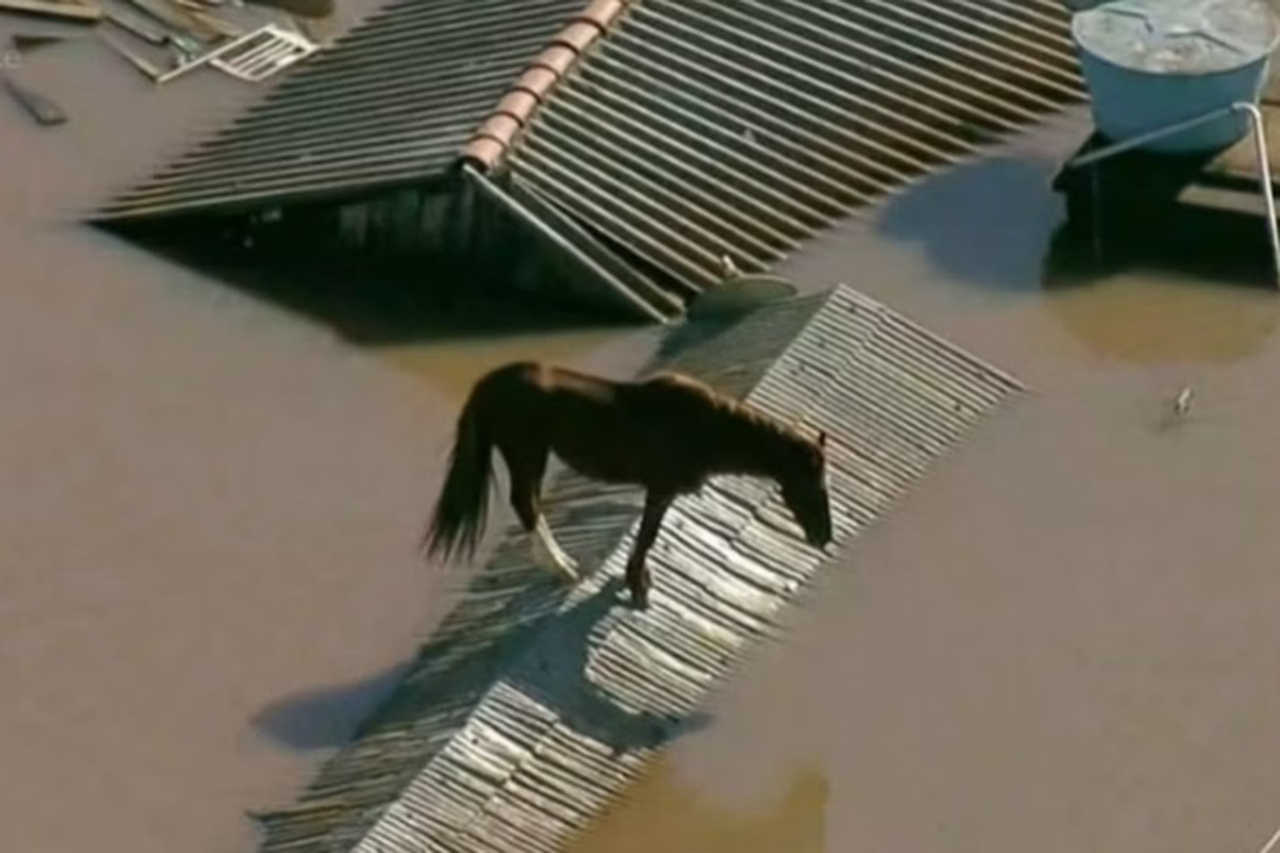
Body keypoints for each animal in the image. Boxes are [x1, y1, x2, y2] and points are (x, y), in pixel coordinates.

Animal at [424, 358, 834, 604]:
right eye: (814, 484)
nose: (824, 537)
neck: (707, 428)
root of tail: (489, 385)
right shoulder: (662, 488)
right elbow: (648, 536)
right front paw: (637, 588)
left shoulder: (661, 490)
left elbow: (646, 536)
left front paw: (637, 581)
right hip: (527, 453)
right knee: (526, 503)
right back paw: (565, 569)